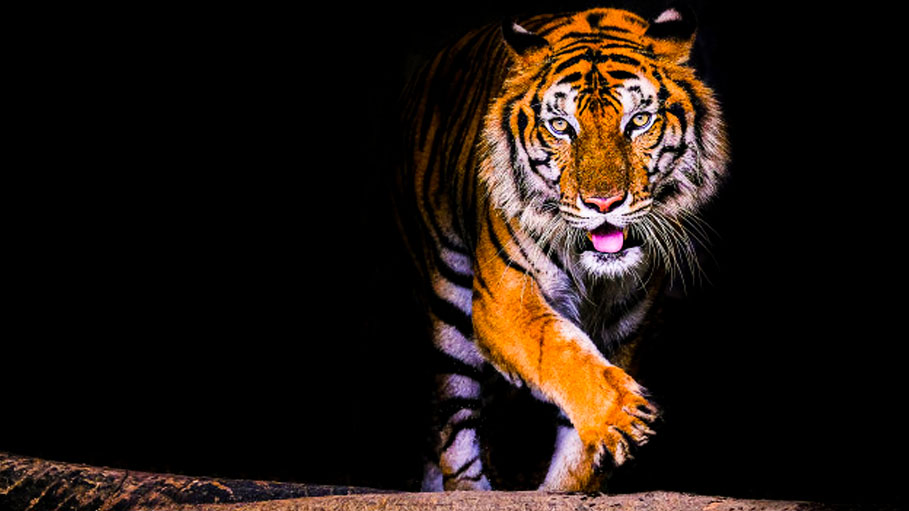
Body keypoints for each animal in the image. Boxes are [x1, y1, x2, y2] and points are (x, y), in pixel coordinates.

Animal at [395, 4, 728, 492]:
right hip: (448, 304)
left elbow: (578, 438)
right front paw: (623, 415)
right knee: (453, 425)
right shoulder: (504, 296)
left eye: (638, 121)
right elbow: (559, 350)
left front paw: (570, 482)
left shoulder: (628, 322)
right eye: (560, 127)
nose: (603, 203)